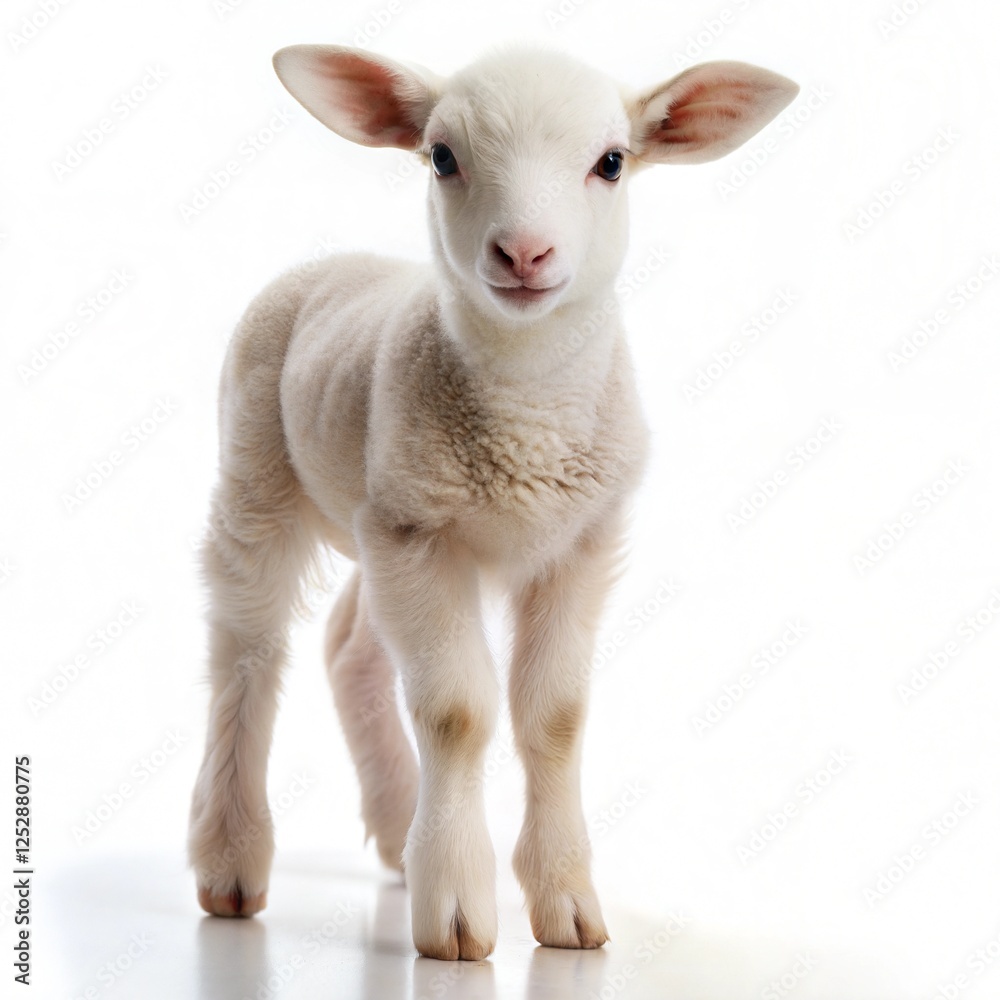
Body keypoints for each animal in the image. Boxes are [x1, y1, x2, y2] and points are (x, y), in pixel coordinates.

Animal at [187, 42, 798, 961]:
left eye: (611, 162)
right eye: (443, 157)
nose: (524, 252)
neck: (526, 413)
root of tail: (331, 262)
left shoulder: (572, 543)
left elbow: (555, 717)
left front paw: (566, 903)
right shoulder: (423, 537)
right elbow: (456, 712)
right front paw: (454, 909)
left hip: (378, 509)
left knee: (349, 646)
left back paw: (396, 824)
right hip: (262, 477)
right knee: (247, 654)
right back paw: (230, 859)